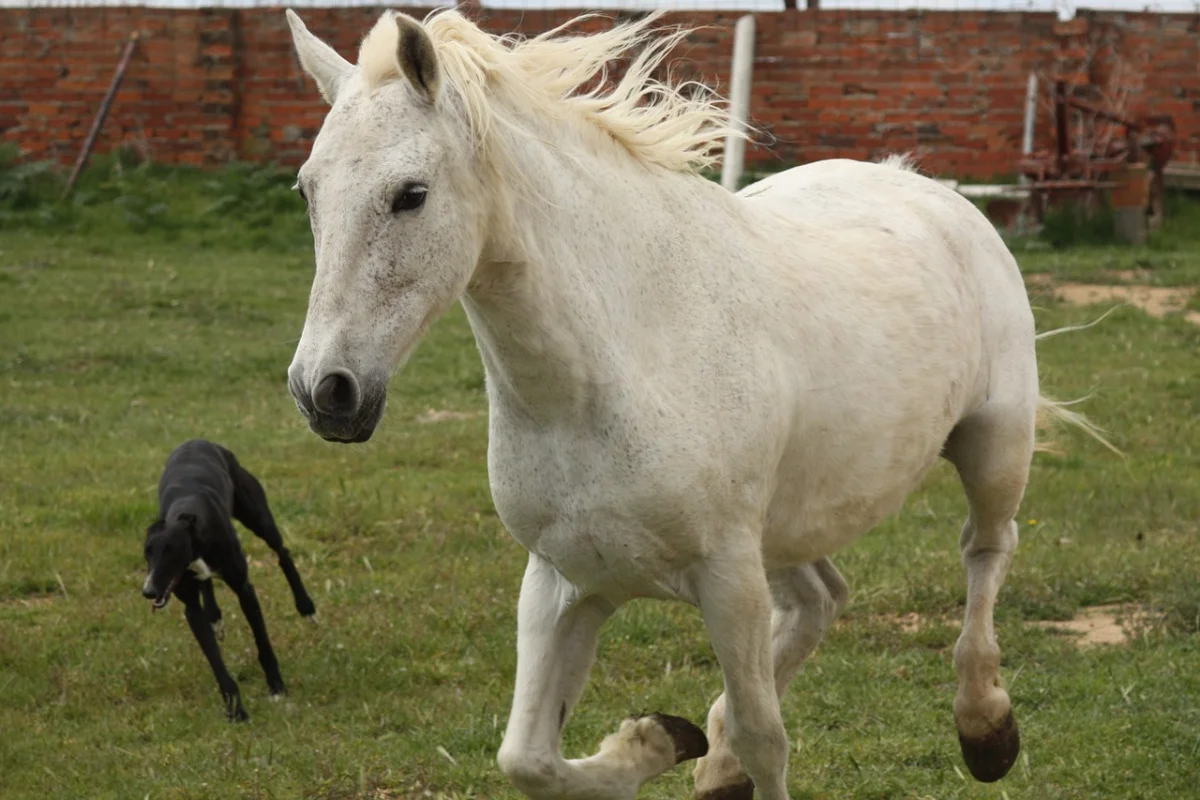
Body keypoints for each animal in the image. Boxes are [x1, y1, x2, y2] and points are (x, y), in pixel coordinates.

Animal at [141, 441, 316, 724]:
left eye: (171, 551)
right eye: (148, 552)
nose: (149, 591)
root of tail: (199, 441)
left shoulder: (245, 589)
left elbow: (263, 642)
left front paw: (277, 687)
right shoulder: (191, 608)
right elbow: (215, 660)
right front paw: (235, 709)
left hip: (258, 516)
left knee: (282, 553)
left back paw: (306, 606)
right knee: (207, 584)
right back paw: (215, 616)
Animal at [285, 9, 1108, 796]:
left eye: (411, 195)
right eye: (308, 190)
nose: (326, 392)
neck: (618, 367)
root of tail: (927, 189)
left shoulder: (726, 578)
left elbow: (765, 736)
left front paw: (690, 745)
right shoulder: (563, 581)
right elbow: (528, 758)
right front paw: (659, 740)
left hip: (993, 446)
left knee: (985, 551)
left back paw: (986, 731)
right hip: (784, 527)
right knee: (823, 596)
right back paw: (714, 767)